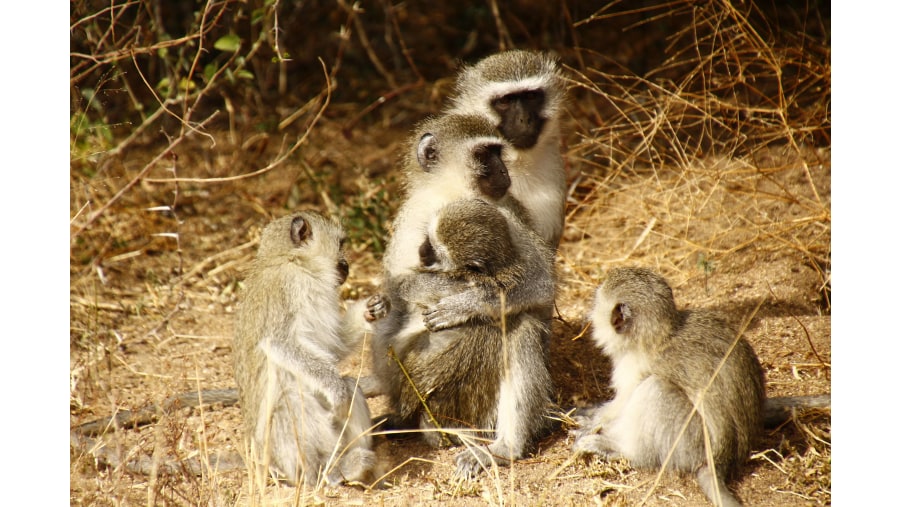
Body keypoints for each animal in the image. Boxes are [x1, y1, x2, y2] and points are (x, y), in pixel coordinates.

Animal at [232, 211, 376, 488]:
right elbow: (279, 343)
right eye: (340, 244)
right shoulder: (289, 286)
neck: (291, 260)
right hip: (276, 452)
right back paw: (322, 475)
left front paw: (369, 311)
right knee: (289, 403)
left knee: (351, 385)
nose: (346, 266)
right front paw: (335, 390)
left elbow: (333, 347)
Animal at [370, 199, 556, 480]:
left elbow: (542, 285)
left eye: (434, 250)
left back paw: (504, 449)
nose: (421, 251)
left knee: (522, 328)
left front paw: (465, 305)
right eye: (427, 239)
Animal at [576, 268, 768, 506]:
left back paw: (621, 449)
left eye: (596, 302)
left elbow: (622, 403)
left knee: (655, 388)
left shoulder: (633, 365)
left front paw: (594, 422)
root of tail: (720, 460)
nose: (589, 312)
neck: (657, 335)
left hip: (690, 443)